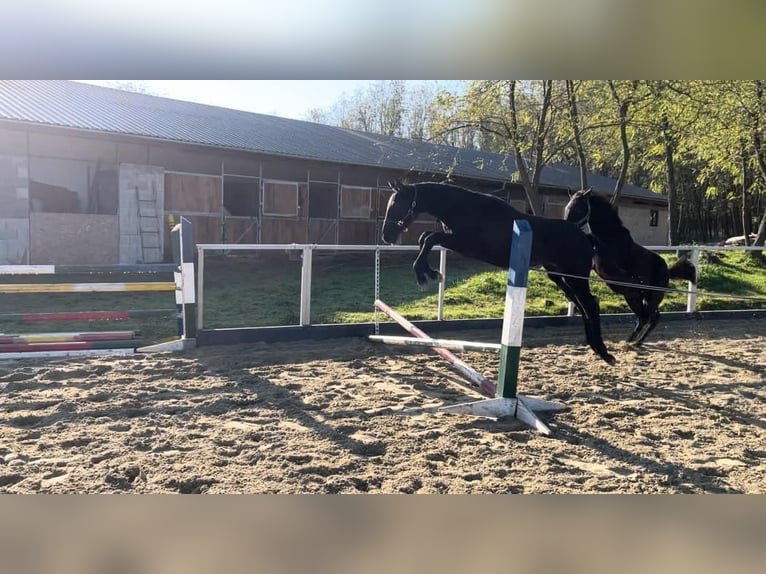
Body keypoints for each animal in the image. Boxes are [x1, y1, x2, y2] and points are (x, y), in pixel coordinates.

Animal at [380, 182, 620, 366]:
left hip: (573, 277)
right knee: (583, 305)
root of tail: (585, 237)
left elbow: (429, 238)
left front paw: (424, 276)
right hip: (560, 277)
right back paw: (596, 348)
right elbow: (426, 238)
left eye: (396, 205)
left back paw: (605, 353)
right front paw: (431, 273)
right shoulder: (454, 241)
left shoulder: (463, 243)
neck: (464, 208)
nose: (386, 235)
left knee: (590, 304)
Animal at [564, 189, 696, 346]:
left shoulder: (609, 267)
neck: (609, 238)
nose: (566, 228)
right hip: (634, 297)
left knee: (651, 317)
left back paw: (635, 342)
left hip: (651, 297)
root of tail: (667, 271)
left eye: (578, 209)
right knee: (645, 317)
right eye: (567, 208)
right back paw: (631, 340)